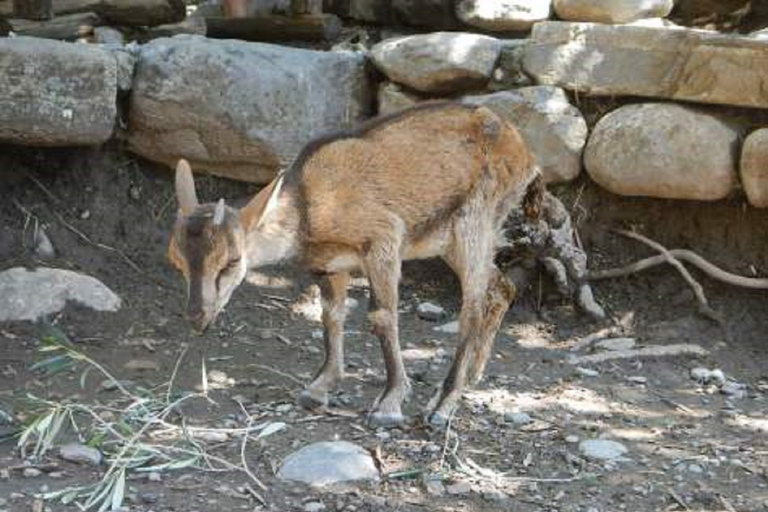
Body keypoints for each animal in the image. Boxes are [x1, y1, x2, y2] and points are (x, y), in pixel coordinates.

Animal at [168, 101, 544, 428]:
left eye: (231, 260)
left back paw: (444, 404)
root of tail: (525, 153)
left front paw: (389, 403)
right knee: (500, 286)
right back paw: (474, 374)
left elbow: (383, 316)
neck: (308, 205)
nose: (197, 316)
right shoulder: (330, 267)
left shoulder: (384, 240)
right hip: (449, 239)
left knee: (473, 305)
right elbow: (331, 315)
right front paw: (318, 388)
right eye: (177, 260)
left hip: (475, 220)